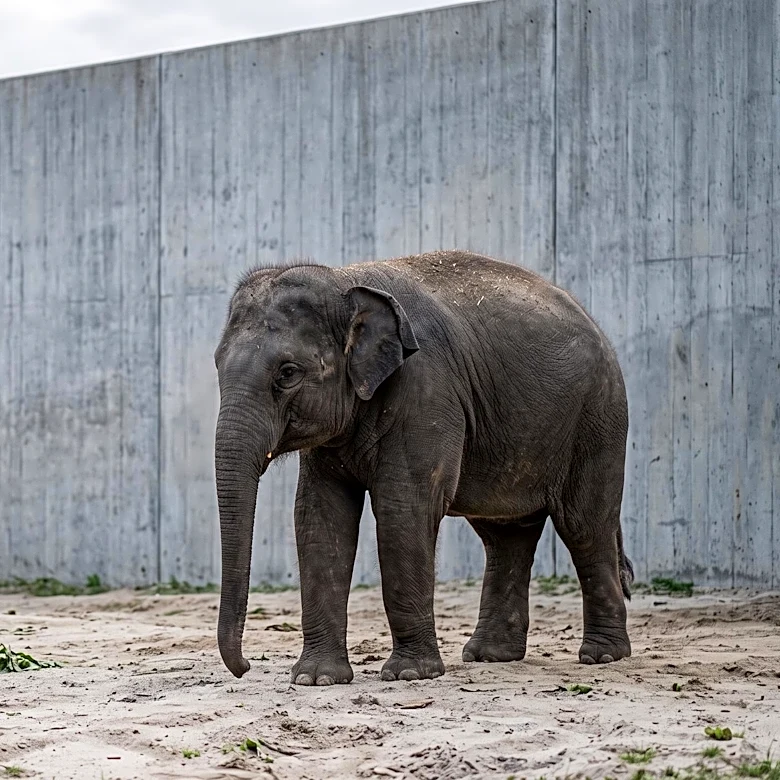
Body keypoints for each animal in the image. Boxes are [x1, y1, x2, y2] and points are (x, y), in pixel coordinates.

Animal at [214, 250, 634, 685]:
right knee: (506, 535)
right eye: (216, 365)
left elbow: (405, 508)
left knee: (585, 526)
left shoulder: (427, 389)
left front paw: (409, 674)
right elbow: (319, 516)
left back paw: (602, 656)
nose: (245, 667)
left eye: (287, 373)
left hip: (597, 419)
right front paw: (316, 679)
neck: (344, 281)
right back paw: (490, 655)